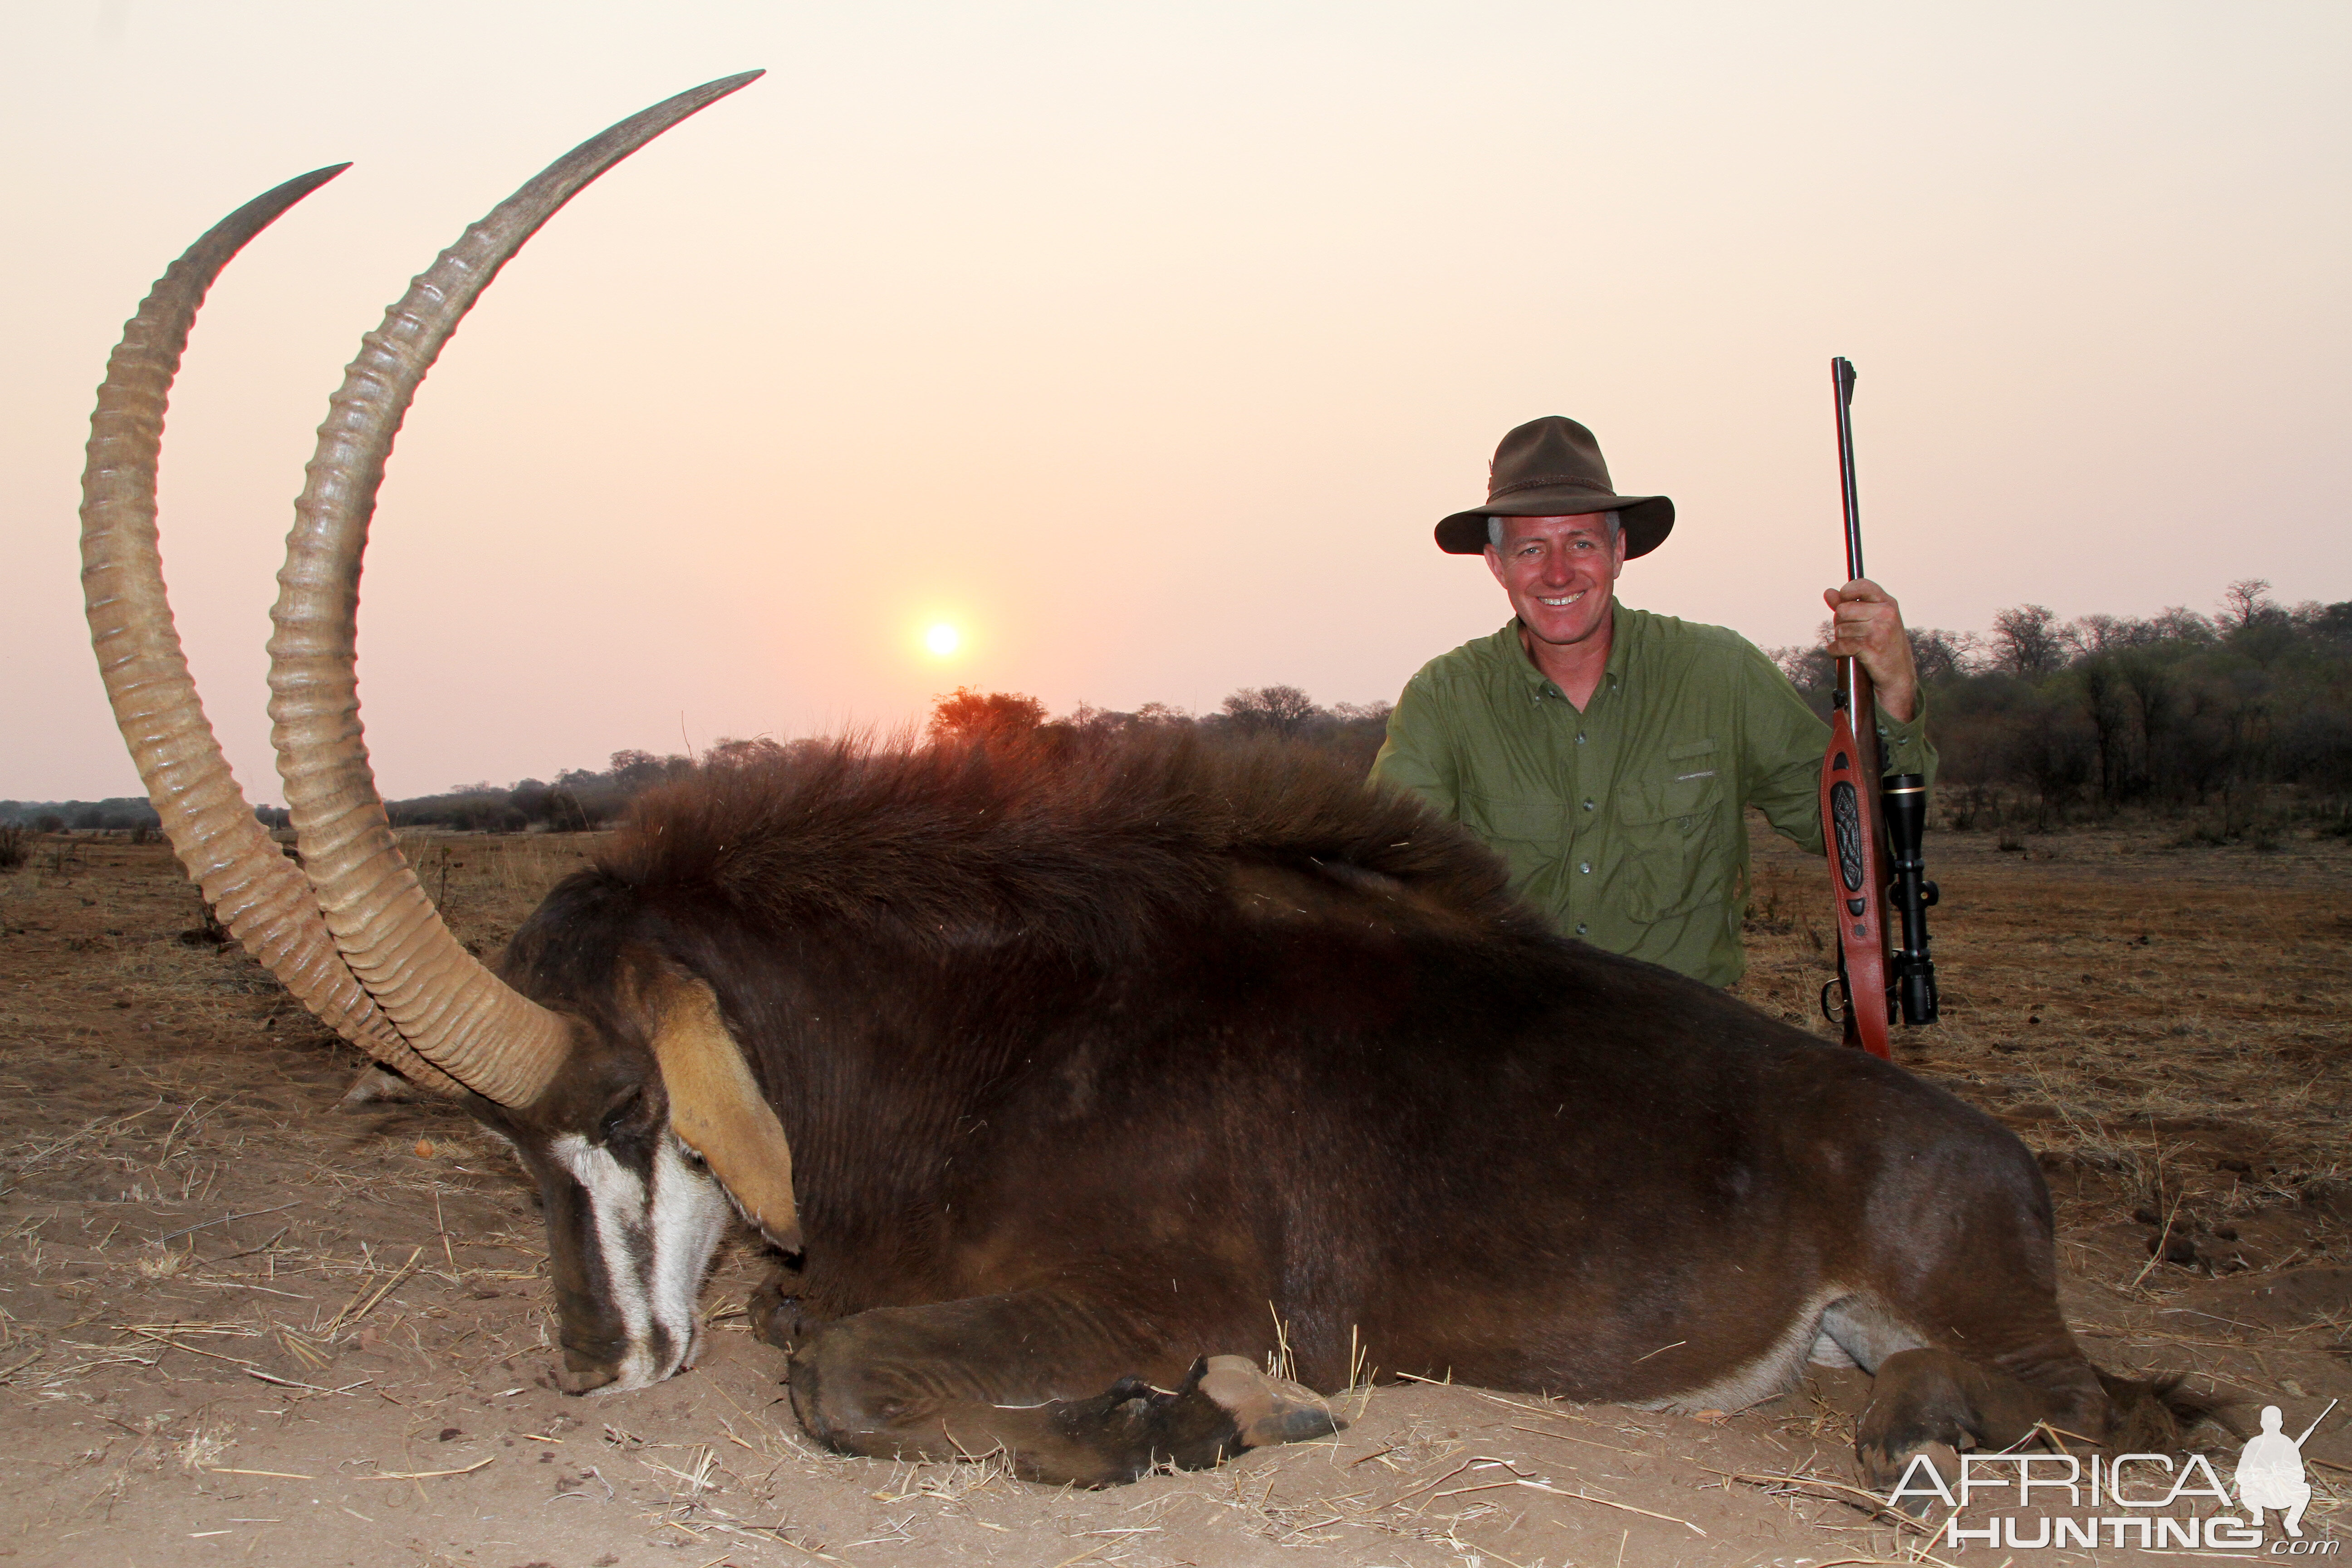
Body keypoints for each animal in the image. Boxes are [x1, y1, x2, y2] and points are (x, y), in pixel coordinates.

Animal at [83, 73, 2126, 1495]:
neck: (968, 1031)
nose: (594, 1364)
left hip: (1977, 1305)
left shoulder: (1153, 1294)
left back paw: (1932, 1425)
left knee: (2084, 1397)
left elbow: (836, 1369)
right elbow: (795, 1315)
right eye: (512, 1152)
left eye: (639, 1112)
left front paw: (1196, 1421)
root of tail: (1986, 1151)